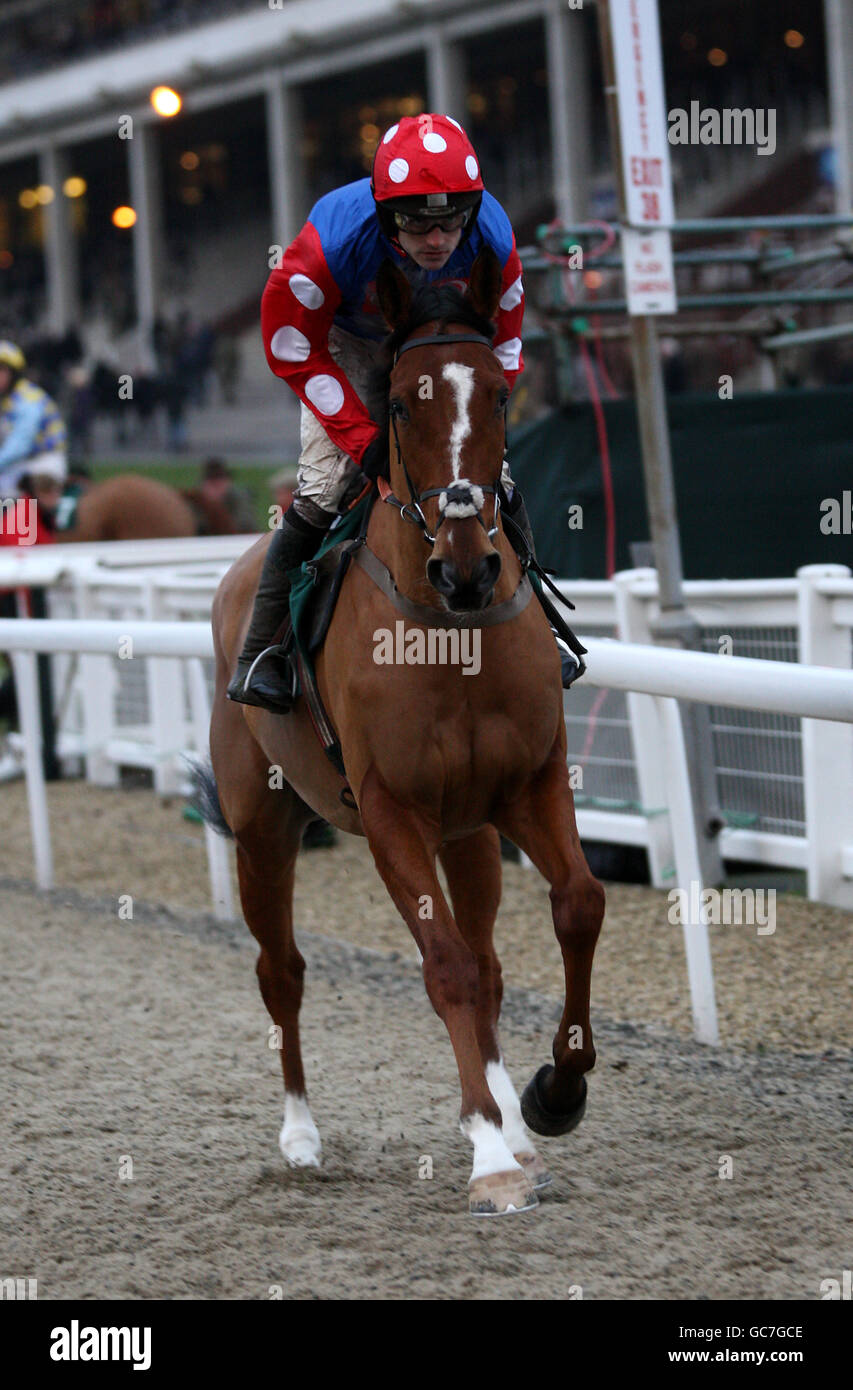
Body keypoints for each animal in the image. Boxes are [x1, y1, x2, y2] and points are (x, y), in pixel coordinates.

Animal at [205, 250, 608, 1217]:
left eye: (500, 394)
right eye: (395, 404)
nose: (466, 568)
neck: (449, 632)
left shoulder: (528, 784)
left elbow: (575, 905)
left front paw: (550, 1096)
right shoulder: (391, 813)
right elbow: (444, 966)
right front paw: (489, 1158)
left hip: (468, 833)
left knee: (491, 960)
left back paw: (514, 1119)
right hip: (262, 828)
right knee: (282, 970)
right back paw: (301, 1136)